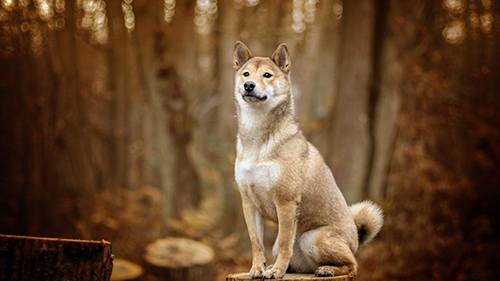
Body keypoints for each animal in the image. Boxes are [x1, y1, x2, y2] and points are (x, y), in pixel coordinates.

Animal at [233, 41, 382, 278]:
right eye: (246, 73)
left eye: (267, 75)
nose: (248, 85)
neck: (258, 139)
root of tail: (356, 240)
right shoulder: (248, 202)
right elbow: (256, 242)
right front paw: (257, 269)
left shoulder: (285, 202)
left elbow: (285, 243)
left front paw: (276, 272)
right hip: (291, 245)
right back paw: (284, 267)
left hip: (312, 238)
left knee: (352, 264)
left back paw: (326, 269)